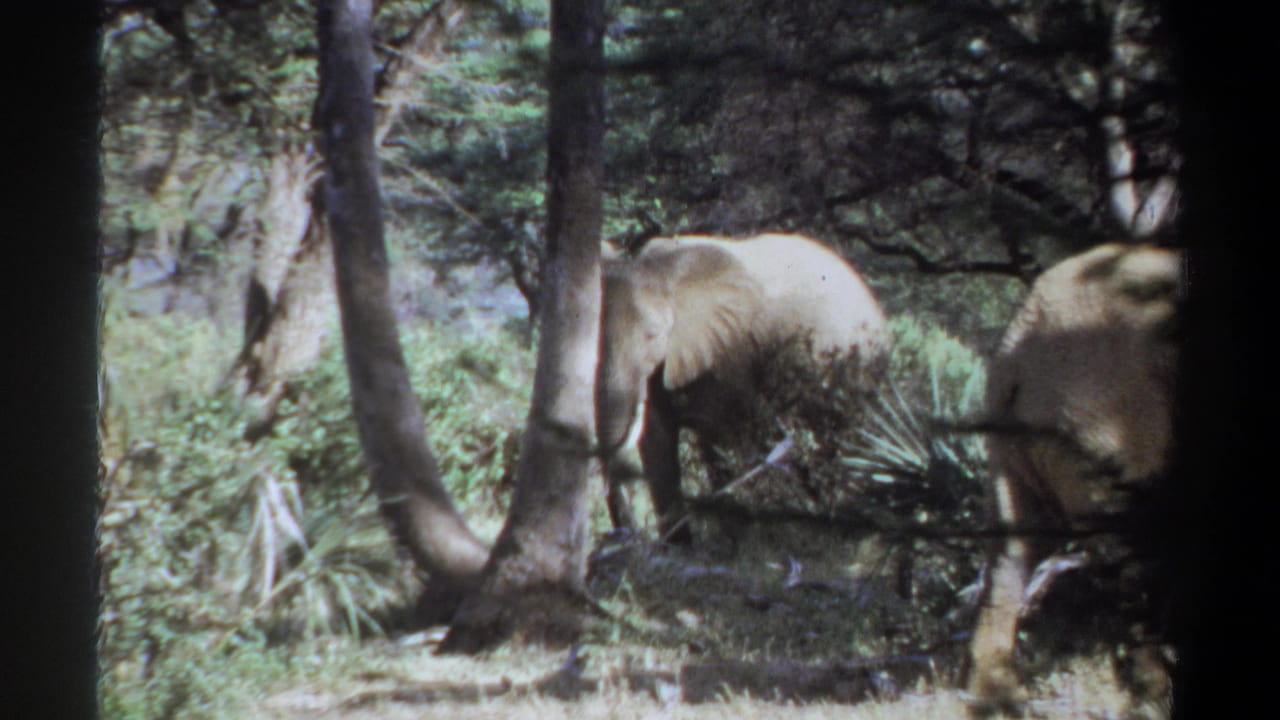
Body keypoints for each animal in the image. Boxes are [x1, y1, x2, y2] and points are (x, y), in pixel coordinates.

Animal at [596, 233, 890, 544]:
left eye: (653, 335)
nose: (620, 535)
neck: (659, 270)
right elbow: (657, 442)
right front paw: (679, 549)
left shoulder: (727, 354)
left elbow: (718, 438)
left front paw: (728, 542)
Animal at [967, 242, 1182, 715]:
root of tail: (1022, 337)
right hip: (1102, 412)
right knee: (1129, 550)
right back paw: (1154, 699)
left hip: (1013, 435)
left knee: (1011, 548)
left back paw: (996, 703)